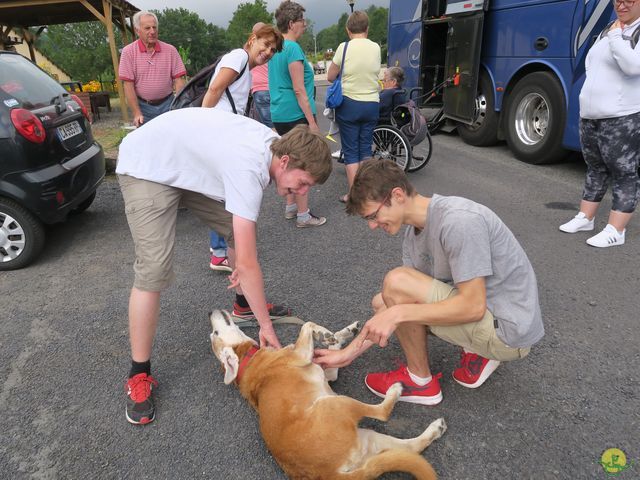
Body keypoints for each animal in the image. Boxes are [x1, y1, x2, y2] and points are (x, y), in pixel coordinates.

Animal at [209, 310, 444, 478]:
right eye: (215, 334)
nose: (211, 312)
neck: (247, 360)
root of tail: (328, 474)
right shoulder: (300, 355)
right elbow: (307, 323)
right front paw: (323, 333)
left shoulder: (326, 370)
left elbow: (333, 348)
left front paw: (343, 333)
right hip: (337, 404)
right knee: (383, 413)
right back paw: (395, 391)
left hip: (370, 439)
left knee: (413, 448)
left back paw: (435, 429)